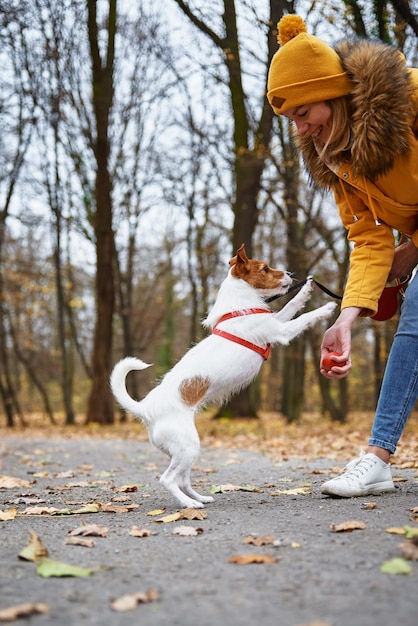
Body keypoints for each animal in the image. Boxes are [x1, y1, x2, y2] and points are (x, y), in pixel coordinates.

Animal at [110, 244, 336, 508]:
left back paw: (201, 498)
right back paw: (190, 504)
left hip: (183, 452)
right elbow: (302, 318)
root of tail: (146, 409)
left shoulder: (275, 322)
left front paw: (305, 291)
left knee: (183, 479)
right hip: (188, 446)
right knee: (168, 479)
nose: (290, 274)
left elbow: (289, 307)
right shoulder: (280, 331)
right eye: (265, 268)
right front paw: (325, 309)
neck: (239, 308)